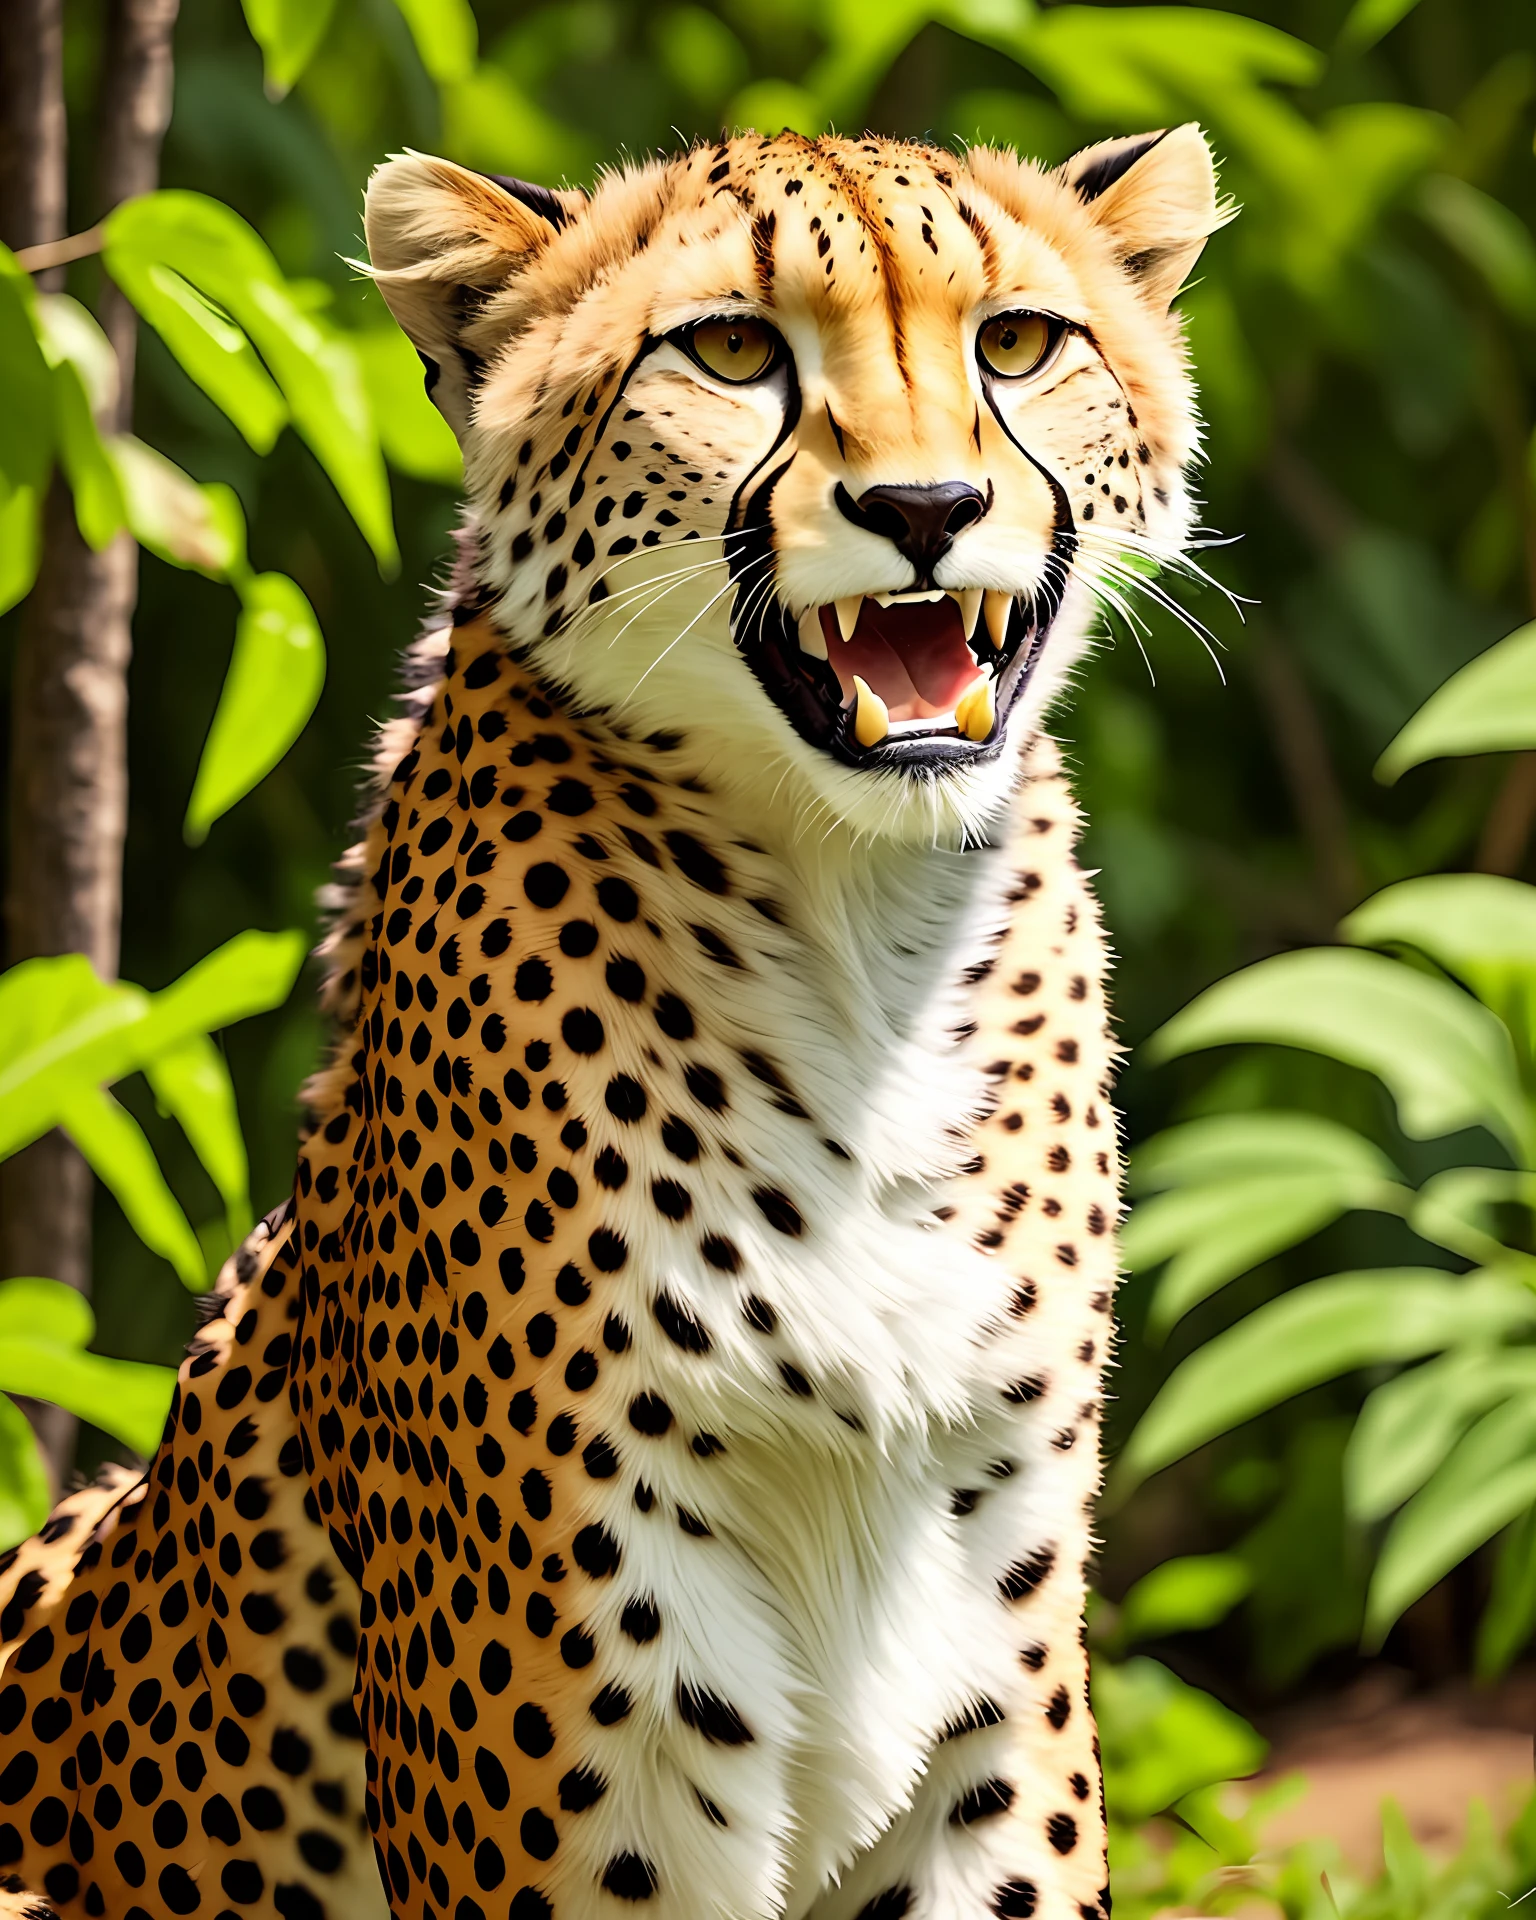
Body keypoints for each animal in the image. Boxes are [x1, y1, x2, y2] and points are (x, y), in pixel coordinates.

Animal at [0, 127, 1221, 1920]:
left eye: (1014, 344)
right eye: (731, 350)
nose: (926, 511)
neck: (862, 930)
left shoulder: (997, 1638)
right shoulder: (593, 1713)